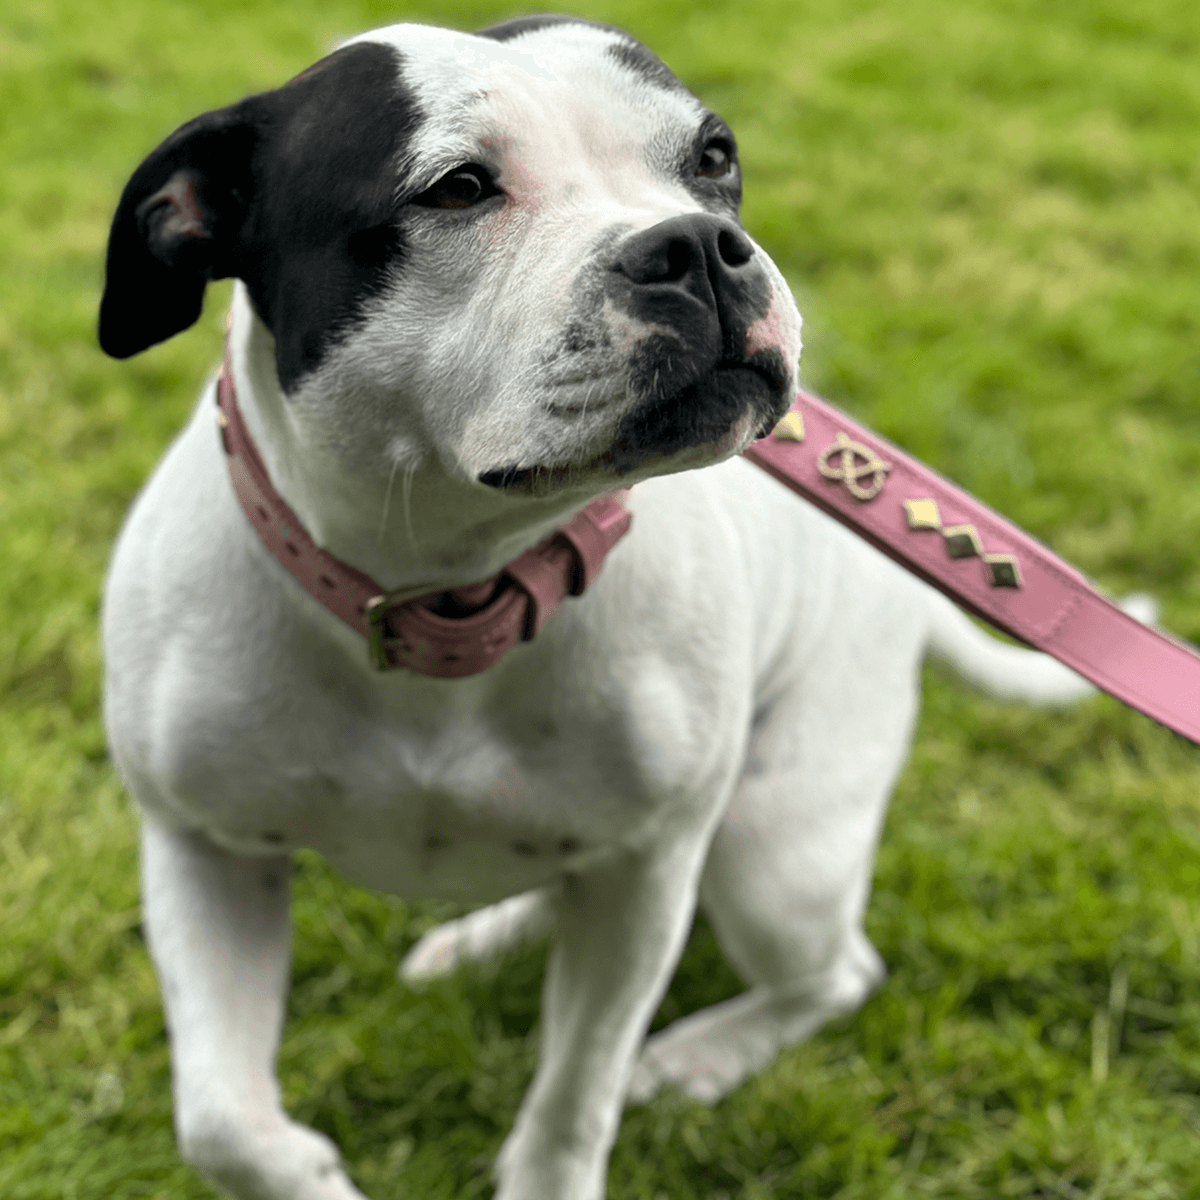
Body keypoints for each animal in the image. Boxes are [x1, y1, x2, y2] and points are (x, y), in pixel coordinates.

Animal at [98, 14, 1108, 1195]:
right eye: (456, 188)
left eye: (712, 156)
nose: (700, 246)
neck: (448, 589)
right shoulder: (204, 852)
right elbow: (221, 1122)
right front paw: (308, 1174)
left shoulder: (647, 872)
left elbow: (576, 1092)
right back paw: (485, 936)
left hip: (773, 852)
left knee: (834, 973)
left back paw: (698, 1056)